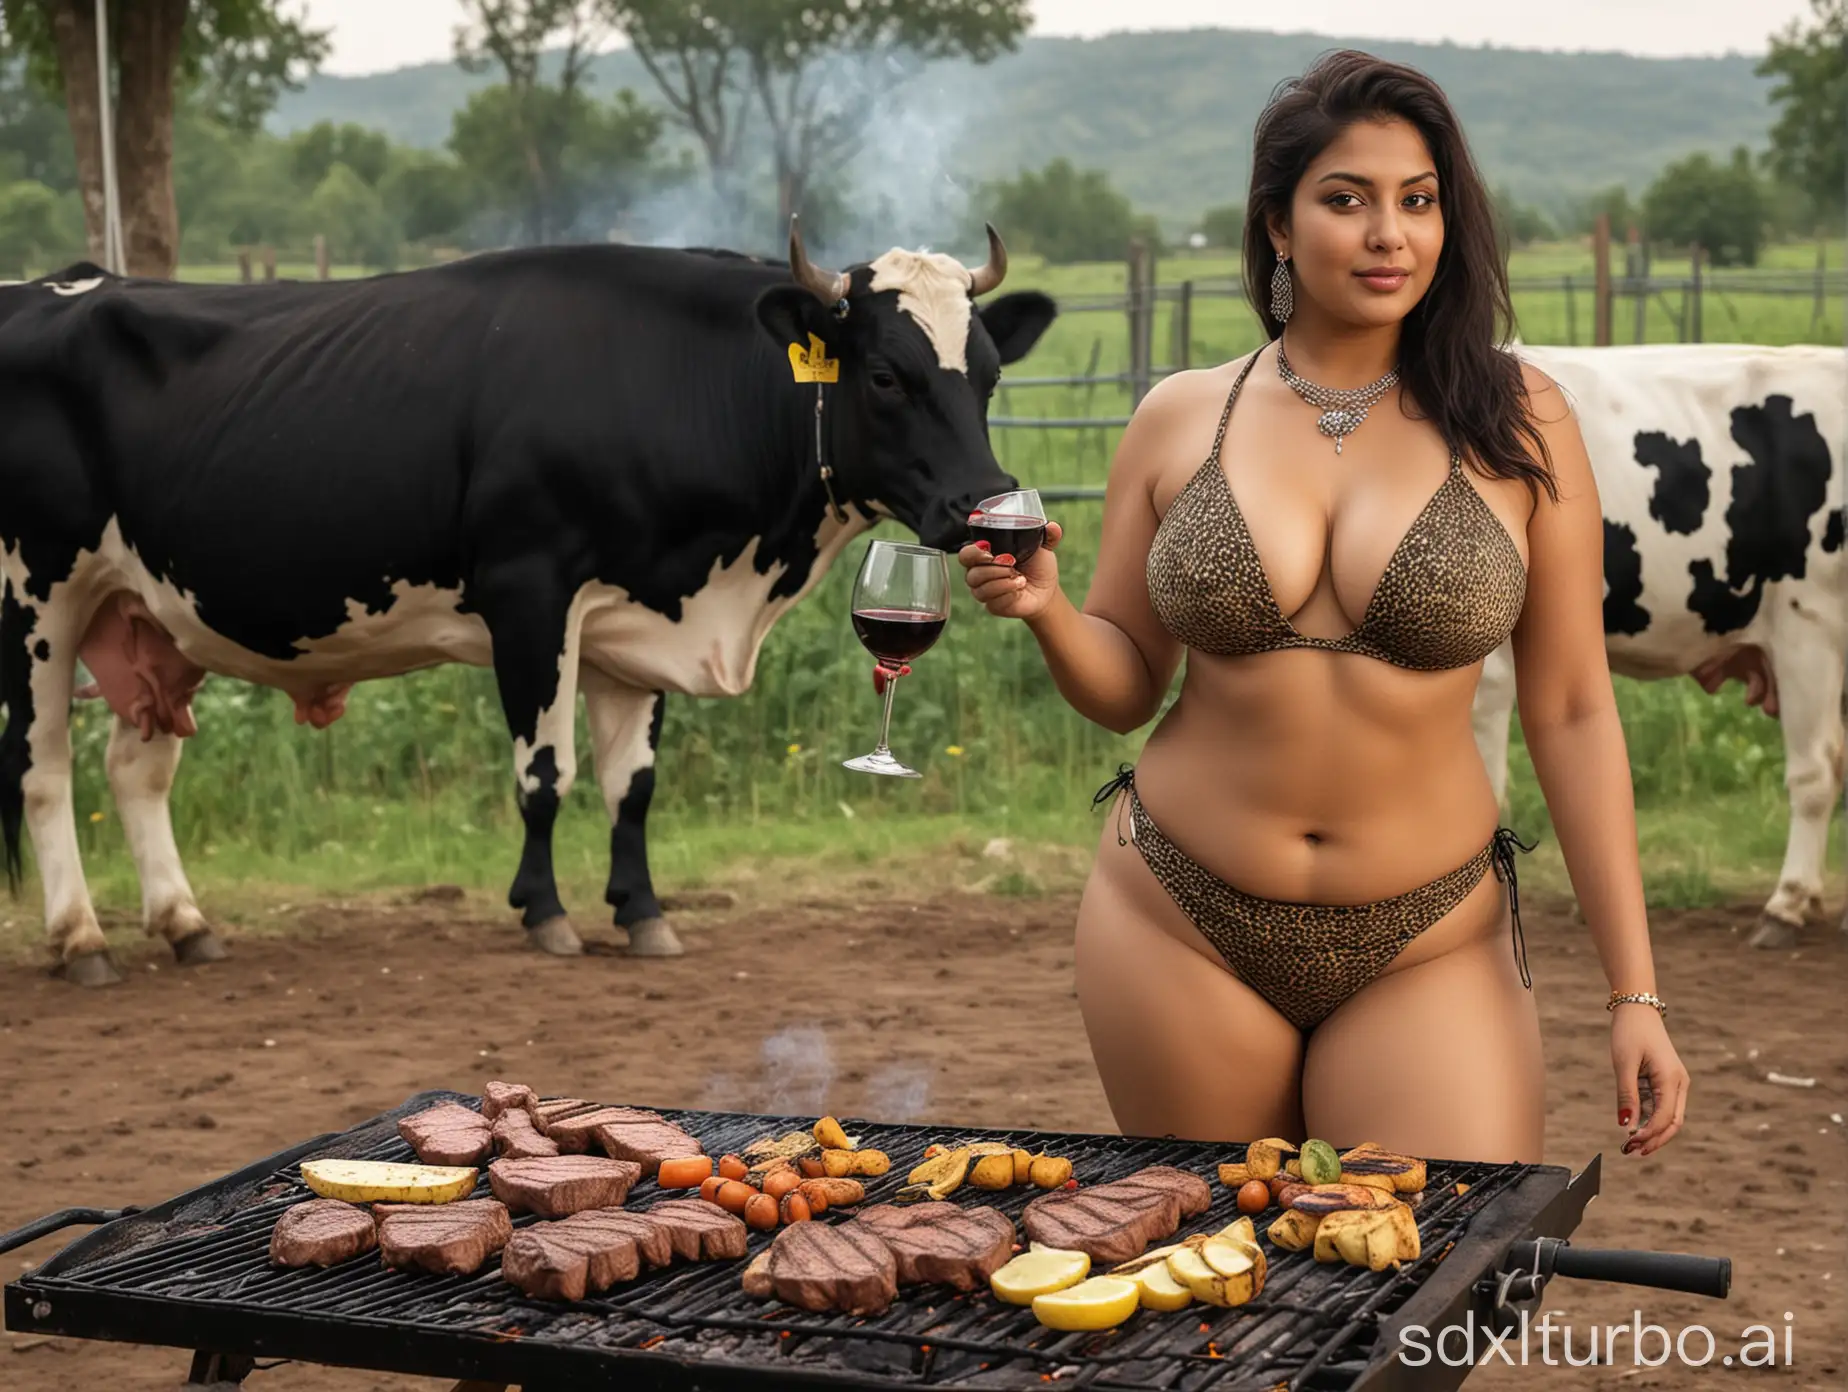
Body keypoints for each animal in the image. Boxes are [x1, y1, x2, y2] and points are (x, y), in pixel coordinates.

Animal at [0, 219, 1064, 976]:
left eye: (989, 374)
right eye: (884, 373)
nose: (983, 503)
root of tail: (50, 285)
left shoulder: (640, 614)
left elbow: (632, 784)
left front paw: (641, 913)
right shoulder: (529, 594)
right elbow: (544, 773)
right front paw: (545, 912)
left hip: (147, 611)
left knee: (135, 770)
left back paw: (184, 924)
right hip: (38, 599)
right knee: (43, 770)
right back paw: (81, 938)